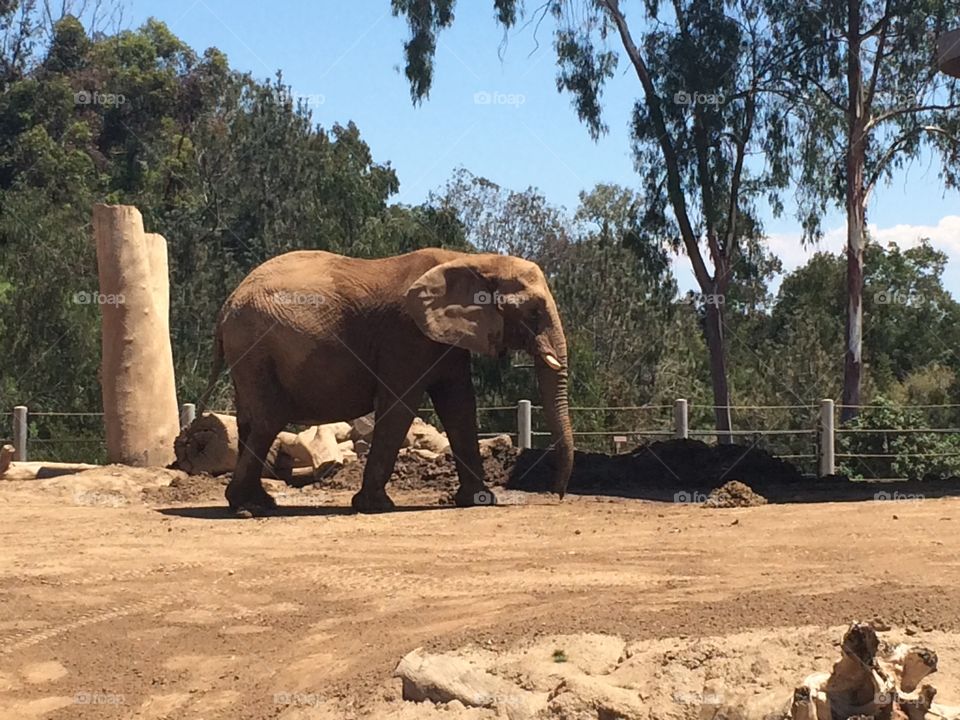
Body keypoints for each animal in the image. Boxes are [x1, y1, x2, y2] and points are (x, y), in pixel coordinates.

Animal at [197, 248, 574, 514]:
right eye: (533, 312)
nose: (557, 495)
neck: (474, 259)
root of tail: (225, 307)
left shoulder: (444, 339)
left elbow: (459, 406)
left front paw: (479, 500)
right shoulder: (406, 334)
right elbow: (401, 404)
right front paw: (376, 507)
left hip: (250, 354)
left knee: (250, 422)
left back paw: (259, 503)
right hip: (258, 348)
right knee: (268, 420)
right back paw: (246, 508)